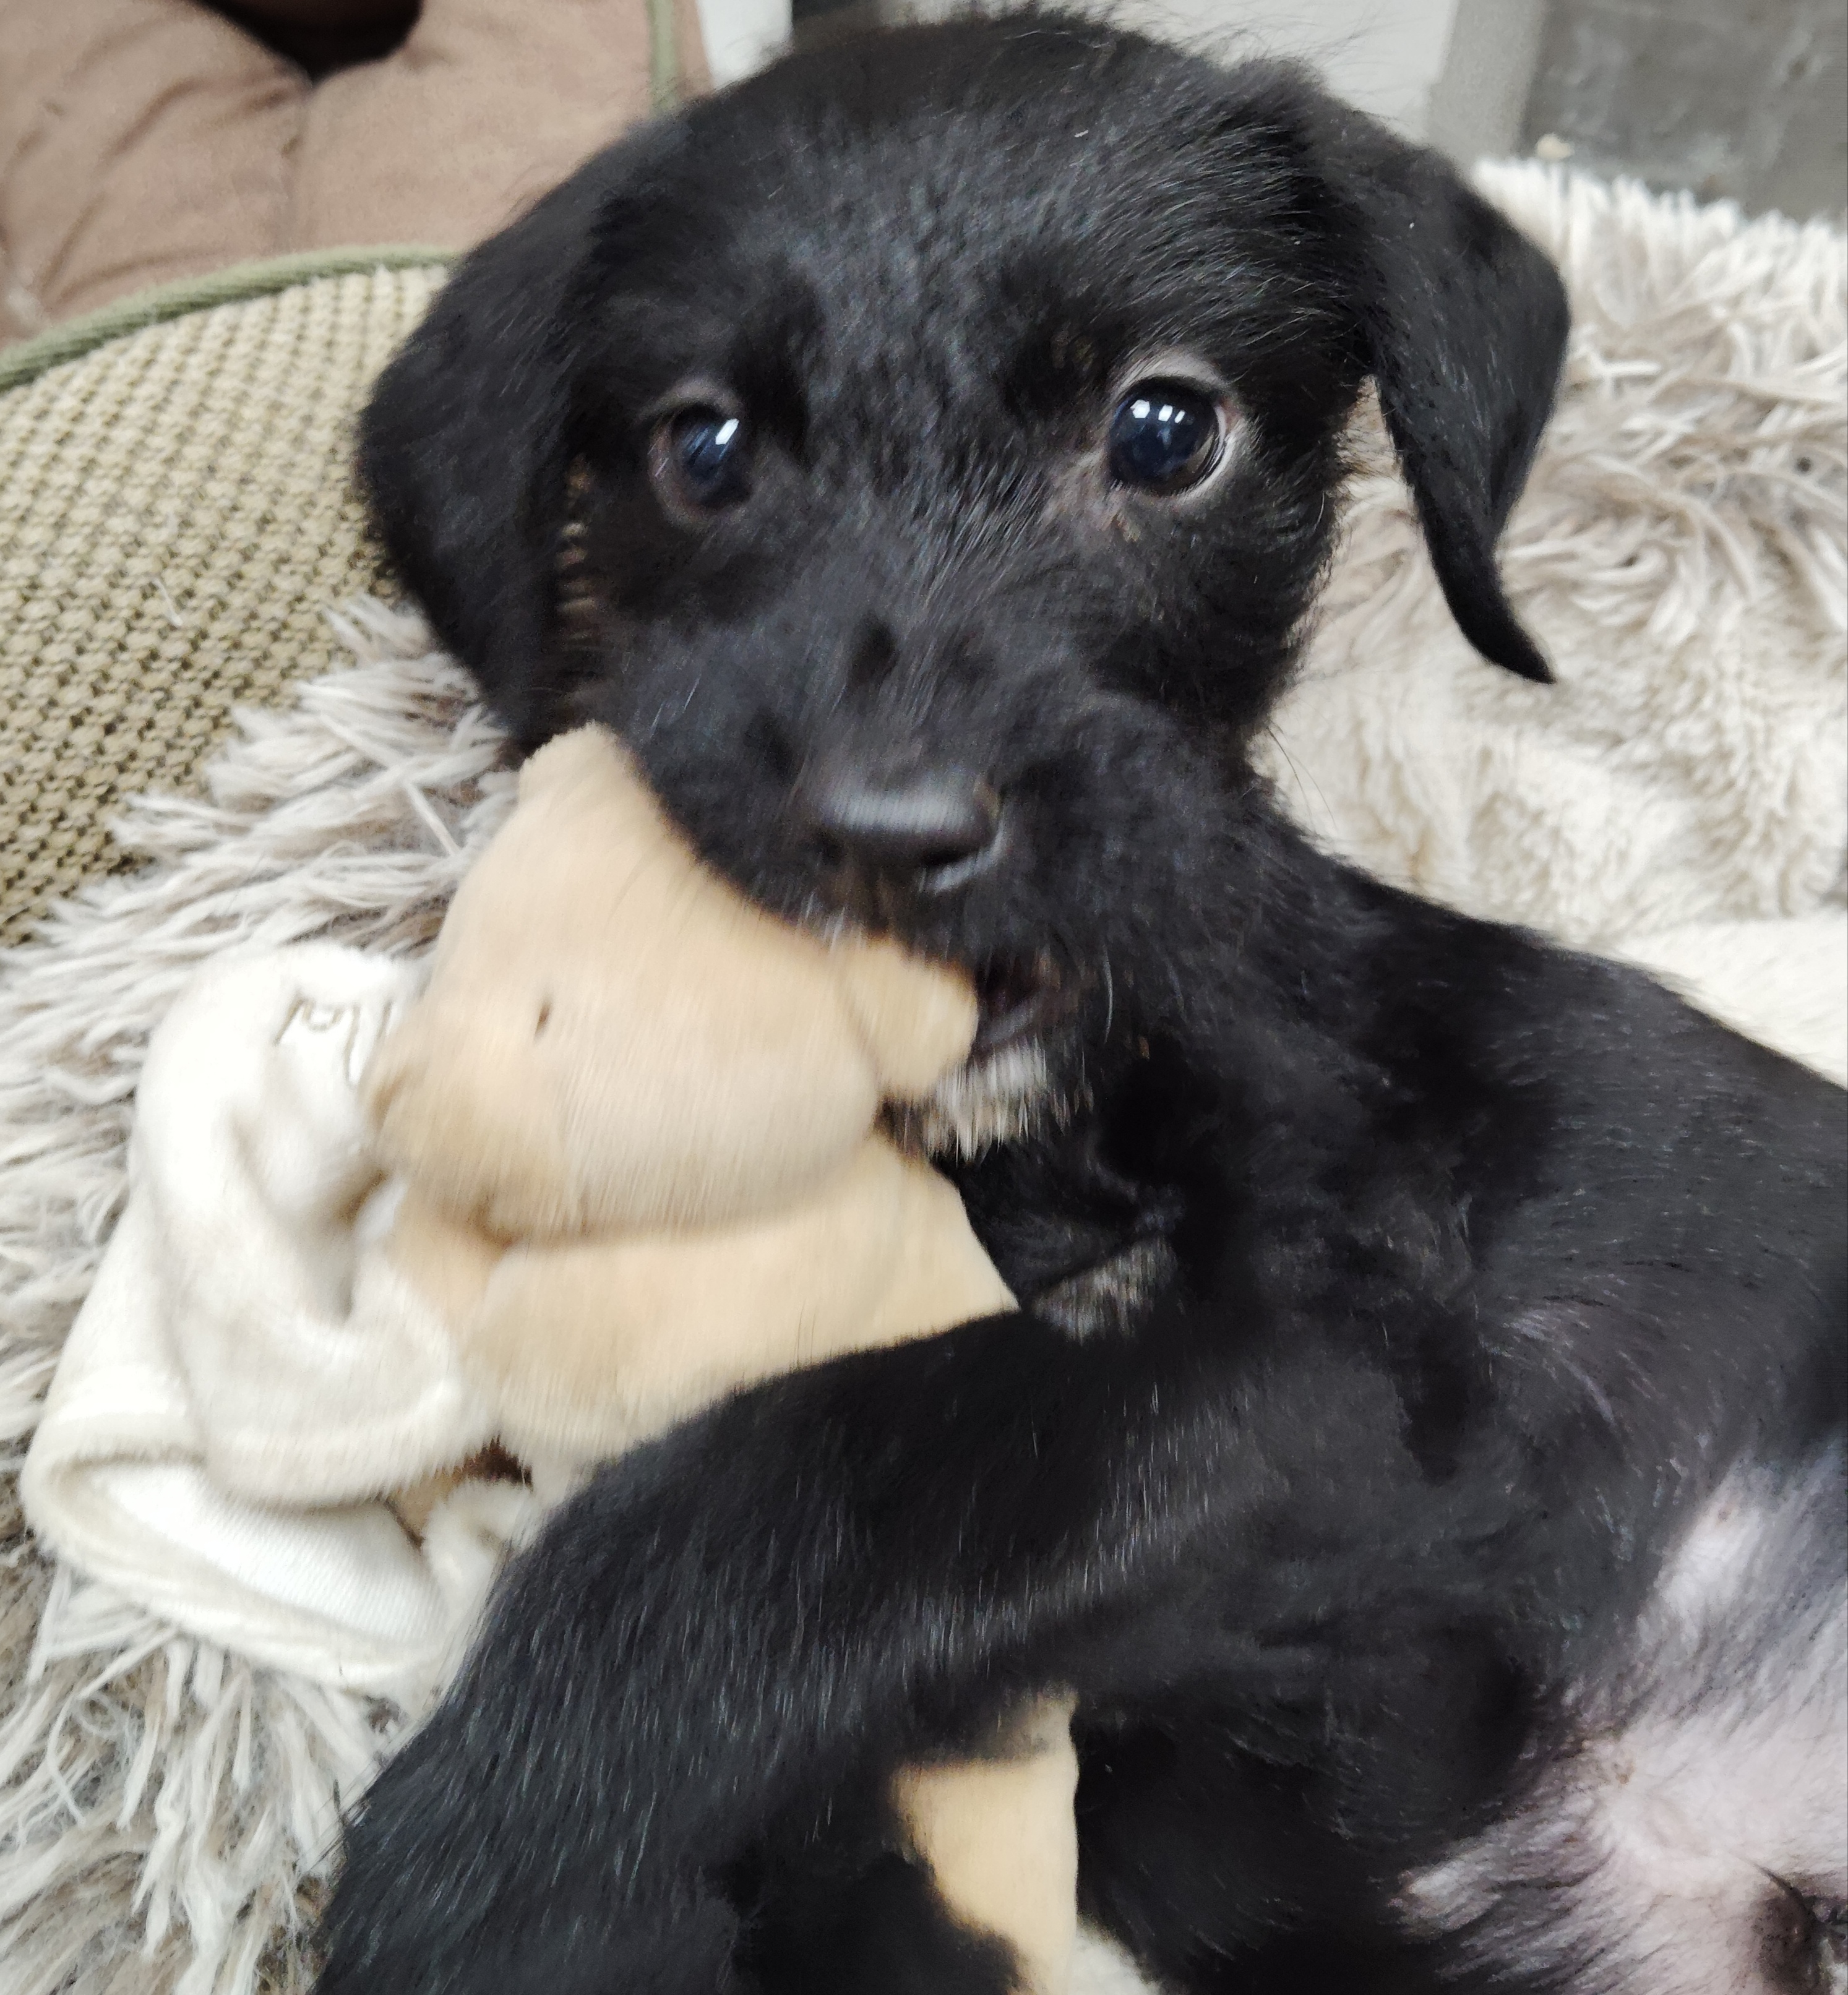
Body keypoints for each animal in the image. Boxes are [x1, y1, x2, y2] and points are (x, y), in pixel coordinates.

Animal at [320, 15, 1847, 1993]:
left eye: (1164, 427)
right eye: (701, 447)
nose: (890, 836)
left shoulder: (1360, 1359)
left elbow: (847, 1460)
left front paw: (497, 1858)